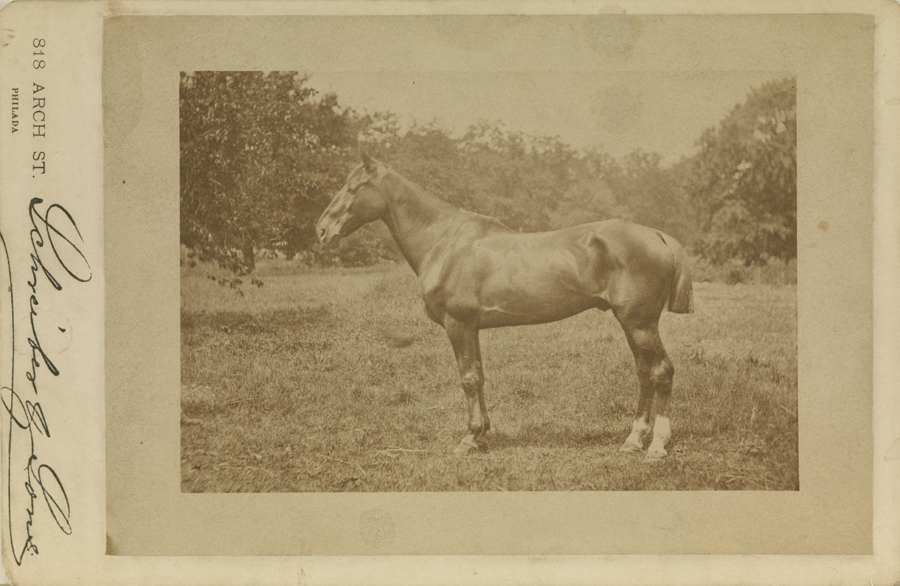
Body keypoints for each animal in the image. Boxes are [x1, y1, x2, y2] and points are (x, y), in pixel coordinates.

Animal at [316, 151, 693, 458]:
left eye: (354, 187)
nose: (322, 230)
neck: (443, 242)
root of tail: (657, 235)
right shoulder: (471, 328)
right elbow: (479, 376)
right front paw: (482, 436)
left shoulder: (458, 324)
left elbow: (468, 378)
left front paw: (469, 439)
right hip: (633, 325)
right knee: (644, 374)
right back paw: (633, 440)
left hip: (640, 324)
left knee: (661, 372)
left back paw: (657, 445)